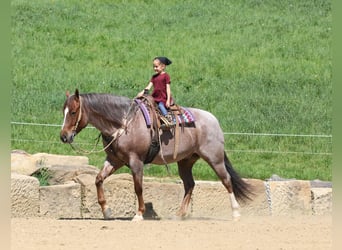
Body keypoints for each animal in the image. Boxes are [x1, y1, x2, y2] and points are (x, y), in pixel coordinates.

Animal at [60, 88, 251, 221]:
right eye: (63, 111)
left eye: (73, 112)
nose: (63, 136)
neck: (124, 123)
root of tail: (214, 120)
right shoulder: (115, 160)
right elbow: (99, 179)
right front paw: (106, 211)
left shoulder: (135, 161)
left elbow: (138, 187)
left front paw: (139, 214)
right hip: (185, 161)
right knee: (189, 184)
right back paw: (179, 214)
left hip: (214, 158)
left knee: (226, 180)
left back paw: (236, 214)